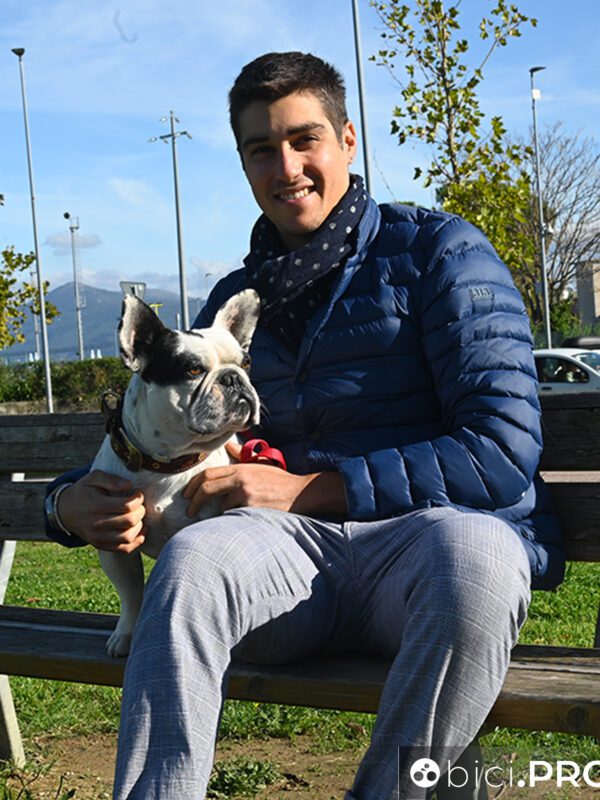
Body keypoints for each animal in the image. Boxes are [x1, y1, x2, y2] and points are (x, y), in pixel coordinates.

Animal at [92, 289, 261, 656]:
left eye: (246, 363)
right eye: (193, 369)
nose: (233, 377)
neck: (168, 462)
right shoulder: (116, 545)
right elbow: (130, 594)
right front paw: (125, 634)